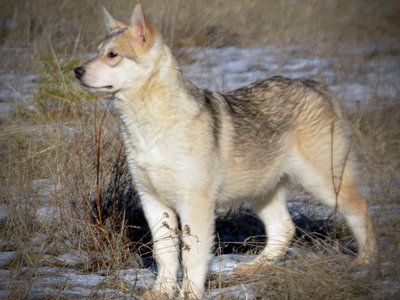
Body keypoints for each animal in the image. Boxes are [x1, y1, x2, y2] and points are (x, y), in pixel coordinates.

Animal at [75, 3, 378, 298]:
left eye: (112, 55)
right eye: (98, 51)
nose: (77, 70)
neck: (149, 129)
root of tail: (318, 87)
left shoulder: (195, 204)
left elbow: (193, 257)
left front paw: (190, 294)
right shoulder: (152, 200)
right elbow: (165, 254)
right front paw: (160, 292)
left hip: (324, 184)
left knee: (361, 210)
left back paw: (366, 262)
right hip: (262, 191)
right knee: (284, 228)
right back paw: (252, 269)